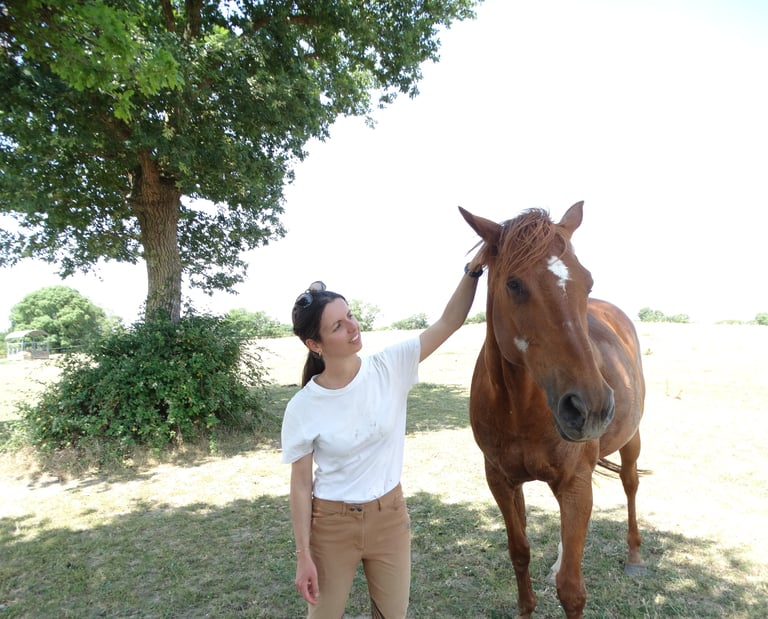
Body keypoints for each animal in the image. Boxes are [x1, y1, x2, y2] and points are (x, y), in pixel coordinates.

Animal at [459, 201, 646, 618]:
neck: (520, 409)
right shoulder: (502, 481)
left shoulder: (575, 482)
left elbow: (572, 590)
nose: (591, 407)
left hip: (632, 439)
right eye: (514, 284)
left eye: (587, 282)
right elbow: (519, 553)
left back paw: (635, 557)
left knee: (630, 484)